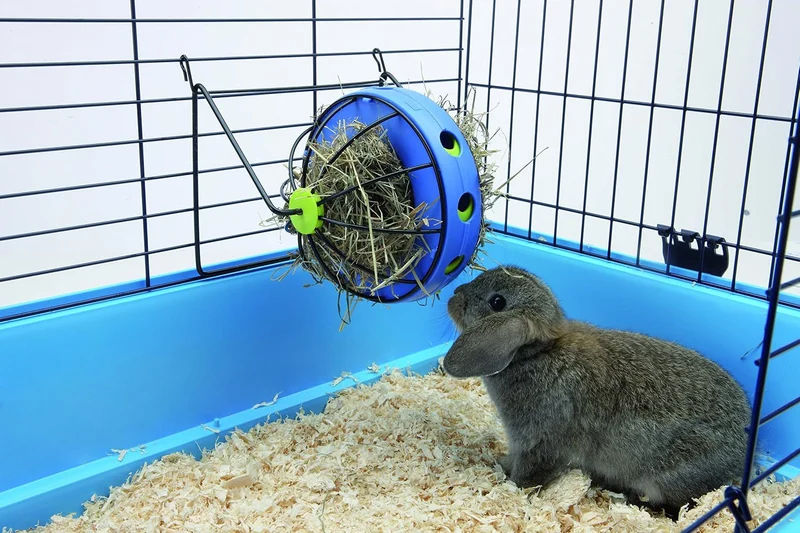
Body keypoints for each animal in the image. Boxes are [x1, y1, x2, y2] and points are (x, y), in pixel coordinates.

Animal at [441, 265, 752, 519]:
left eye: (497, 302)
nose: (454, 295)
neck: (536, 354)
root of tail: (742, 457)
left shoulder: (542, 444)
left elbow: (530, 474)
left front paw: (512, 487)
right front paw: (499, 464)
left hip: (667, 479)